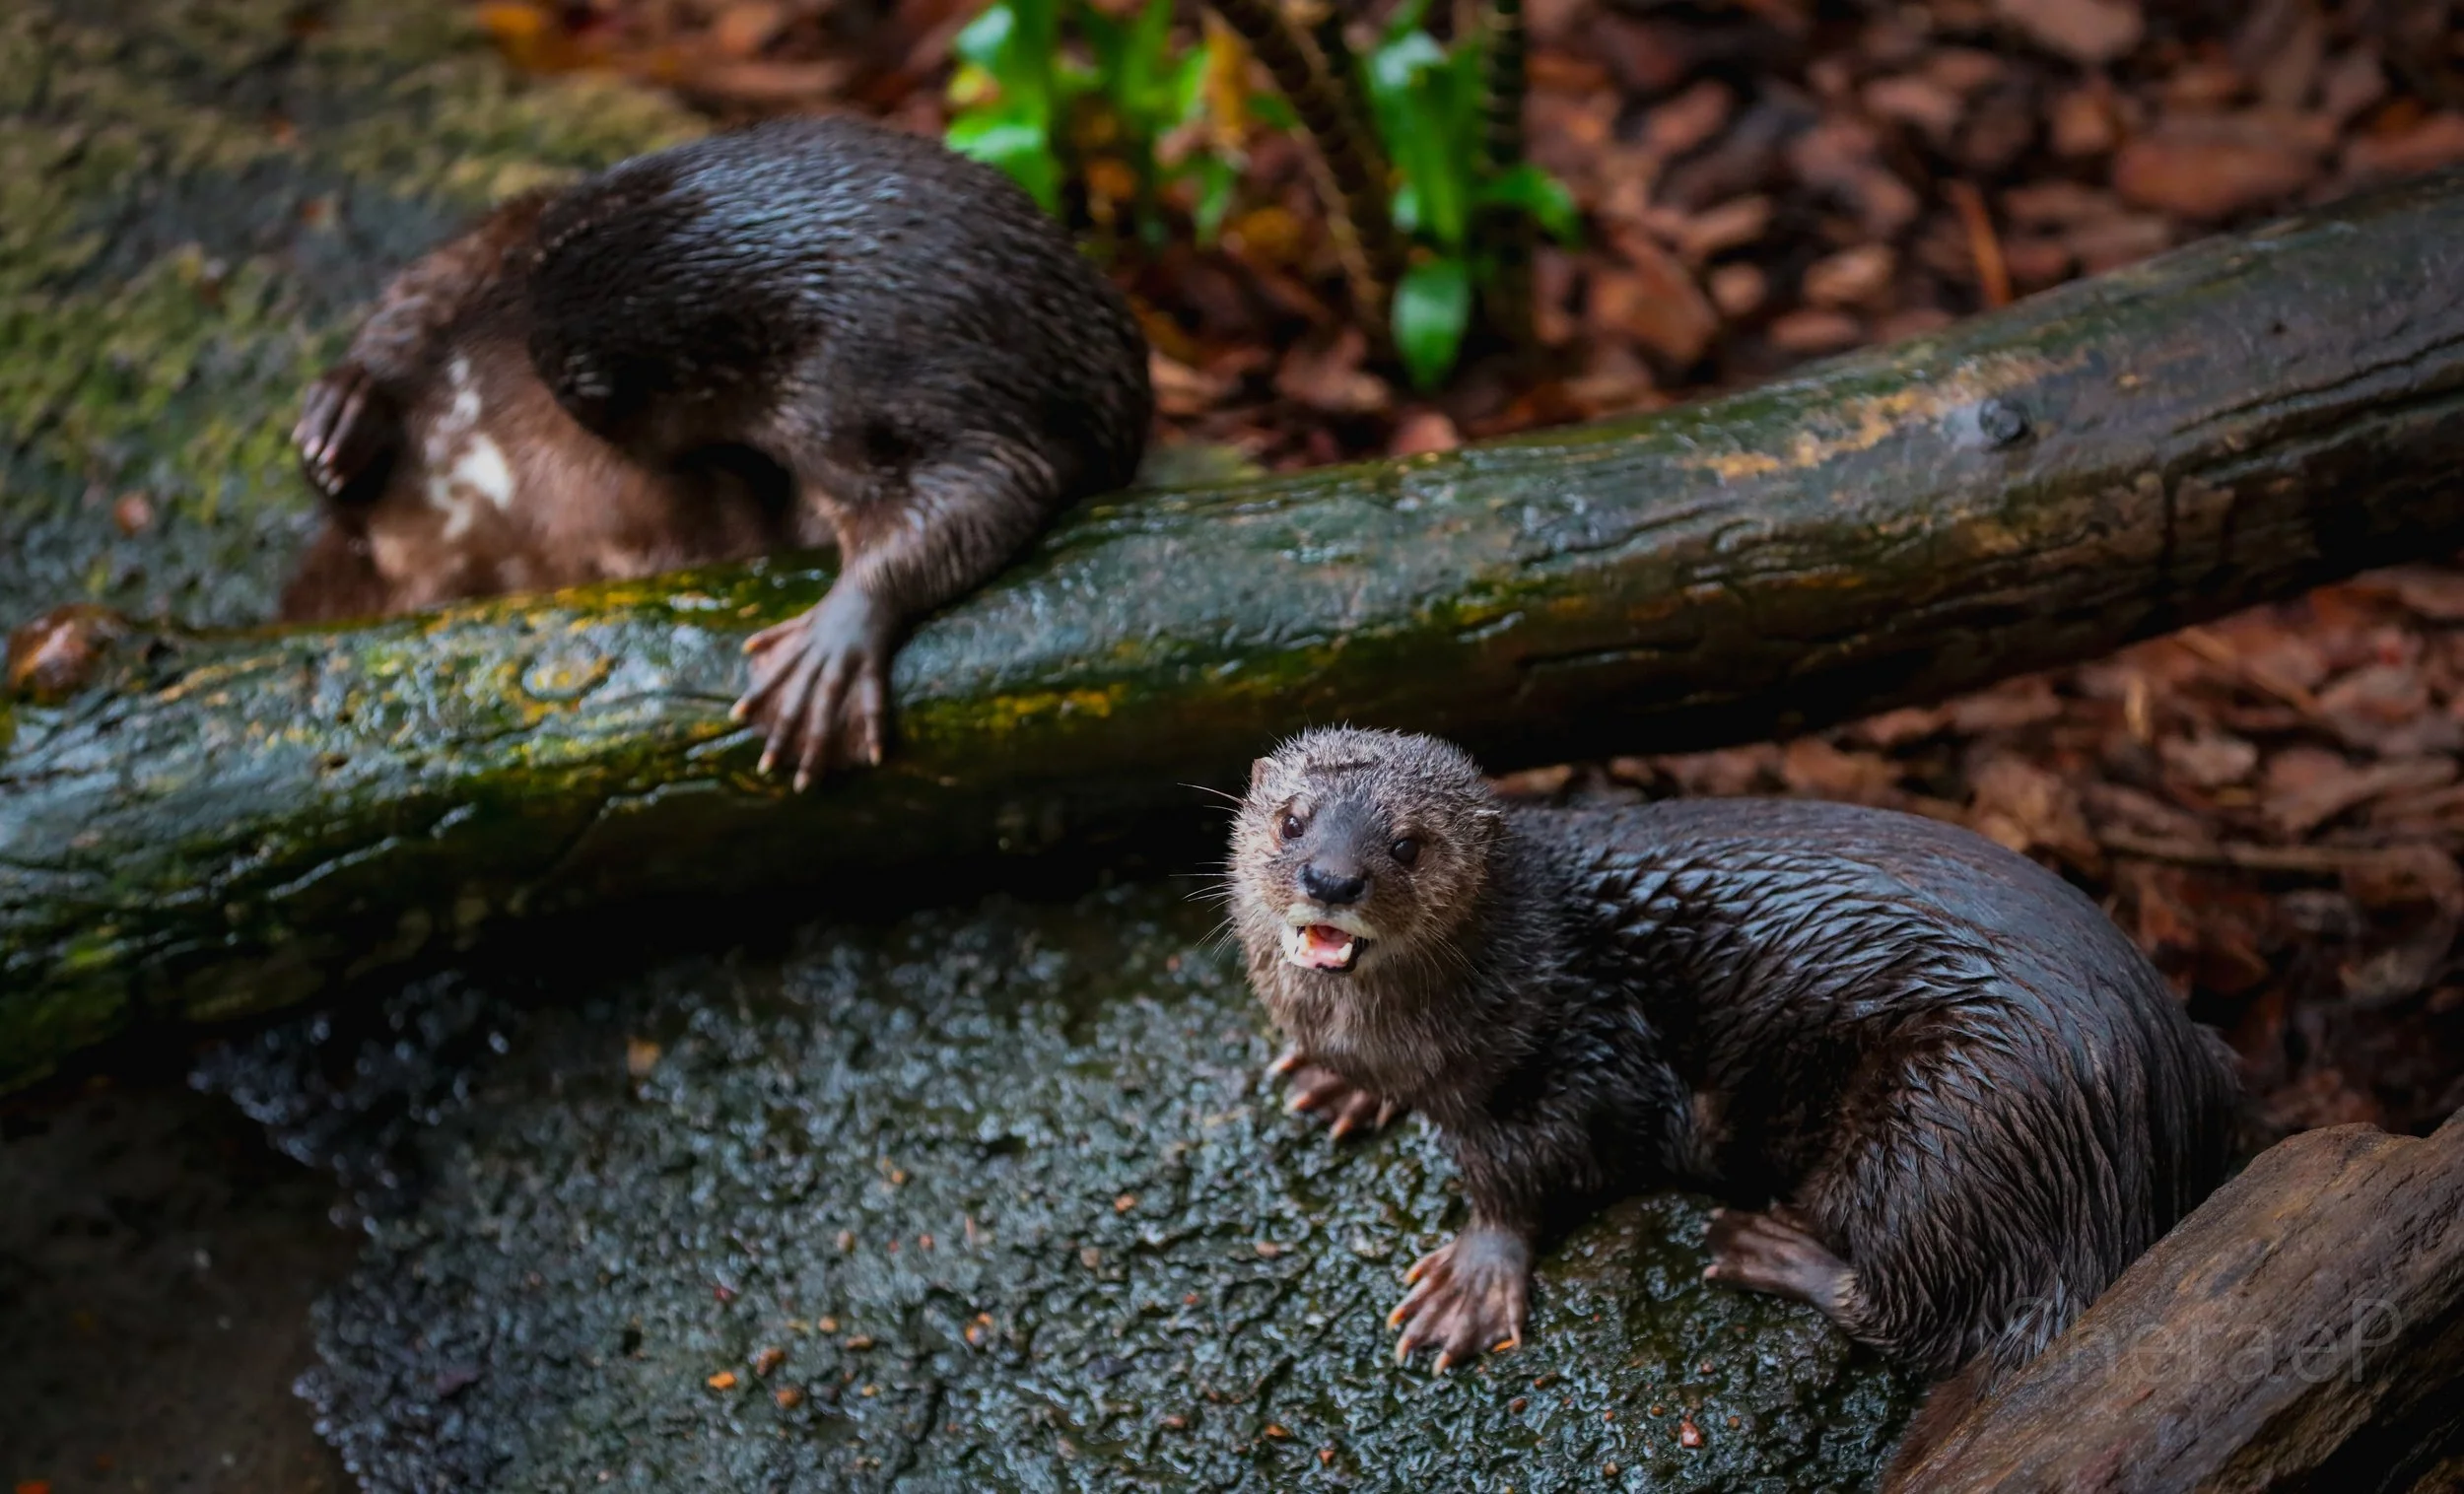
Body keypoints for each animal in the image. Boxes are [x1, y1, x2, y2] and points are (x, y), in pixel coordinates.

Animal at [1231, 727, 2240, 1427]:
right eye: (1291, 821)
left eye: (1408, 845)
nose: (1330, 879)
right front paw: (1342, 1086)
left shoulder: (1586, 1056)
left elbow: (1532, 1172)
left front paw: (1471, 1280)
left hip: (1955, 1123)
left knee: (1927, 1315)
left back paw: (1766, 1248)